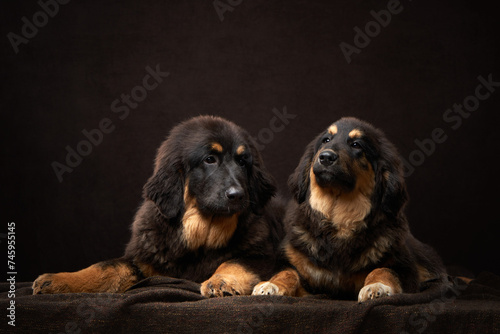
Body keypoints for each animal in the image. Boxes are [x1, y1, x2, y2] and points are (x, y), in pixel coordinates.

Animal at [33, 115, 286, 298]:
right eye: (210, 159)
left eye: (243, 162)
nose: (237, 195)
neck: (200, 234)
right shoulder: (143, 258)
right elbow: (105, 267)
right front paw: (59, 279)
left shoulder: (261, 256)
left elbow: (233, 262)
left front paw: (220, 281)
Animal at [252, 117, 448, 302]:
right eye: (326, 140)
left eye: (356, 144)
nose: (325, 157)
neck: (338, 219)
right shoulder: (301, 271)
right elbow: (287, 272)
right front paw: (271, 285)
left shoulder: (404, 268)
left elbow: (383, 270)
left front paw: (377, 287)